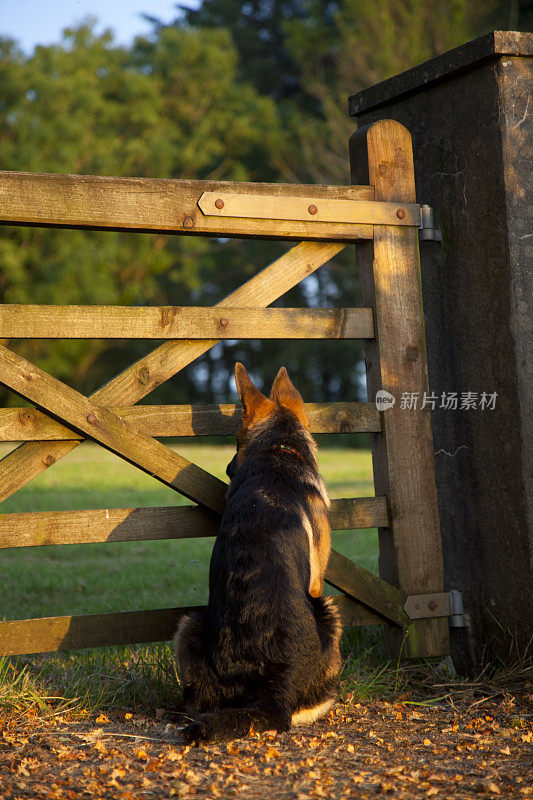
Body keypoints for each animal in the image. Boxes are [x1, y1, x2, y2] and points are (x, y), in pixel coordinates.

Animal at [175, 362, 340, 744]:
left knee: (197, 703)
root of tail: (274, 681)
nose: (227, 470)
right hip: (328, 611)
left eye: (237, 441)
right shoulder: (317, 582)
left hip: (190, 625)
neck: (279, 451)